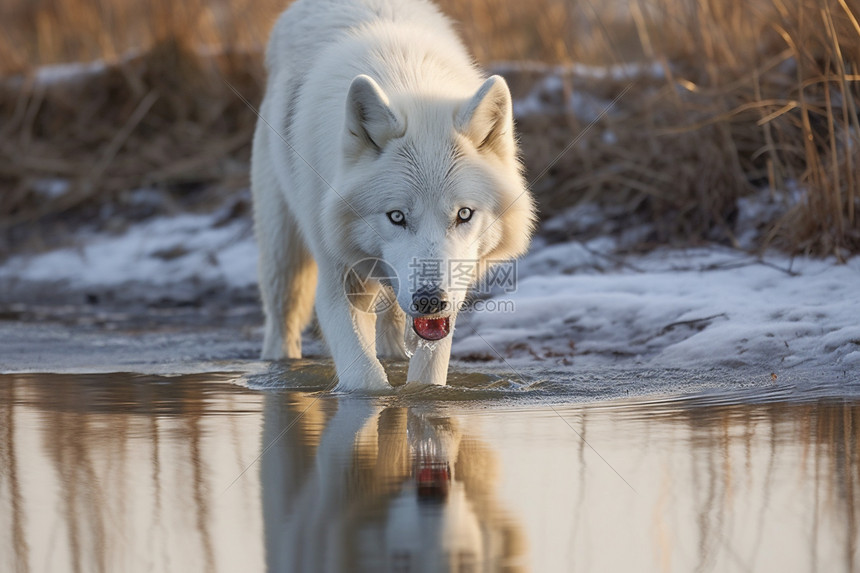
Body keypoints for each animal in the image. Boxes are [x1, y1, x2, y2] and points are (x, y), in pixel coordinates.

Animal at [249, 0, 536, 388]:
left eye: (464, 214)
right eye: (396, 216)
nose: (430, 301)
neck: (410, 81)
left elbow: (428, 374)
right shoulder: (337, 278)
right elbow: (364, 378)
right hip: (283, 254)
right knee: (283, 321)